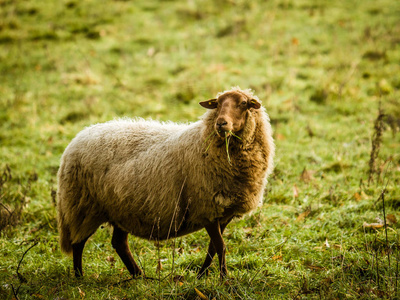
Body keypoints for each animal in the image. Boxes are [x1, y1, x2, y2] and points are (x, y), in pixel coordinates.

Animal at [56, 86, 276, 278]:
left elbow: (213, 247)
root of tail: (77, 138)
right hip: (83, 205)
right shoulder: (207, 209)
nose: (221, 124)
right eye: (218, 104)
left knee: (119, 243)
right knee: (78, 243)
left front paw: (202, 275)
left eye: (244, 103)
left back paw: (138, 276)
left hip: (119, 209)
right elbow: (220, 246)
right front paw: (224, 279)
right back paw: (80, 277)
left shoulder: (223, 213)